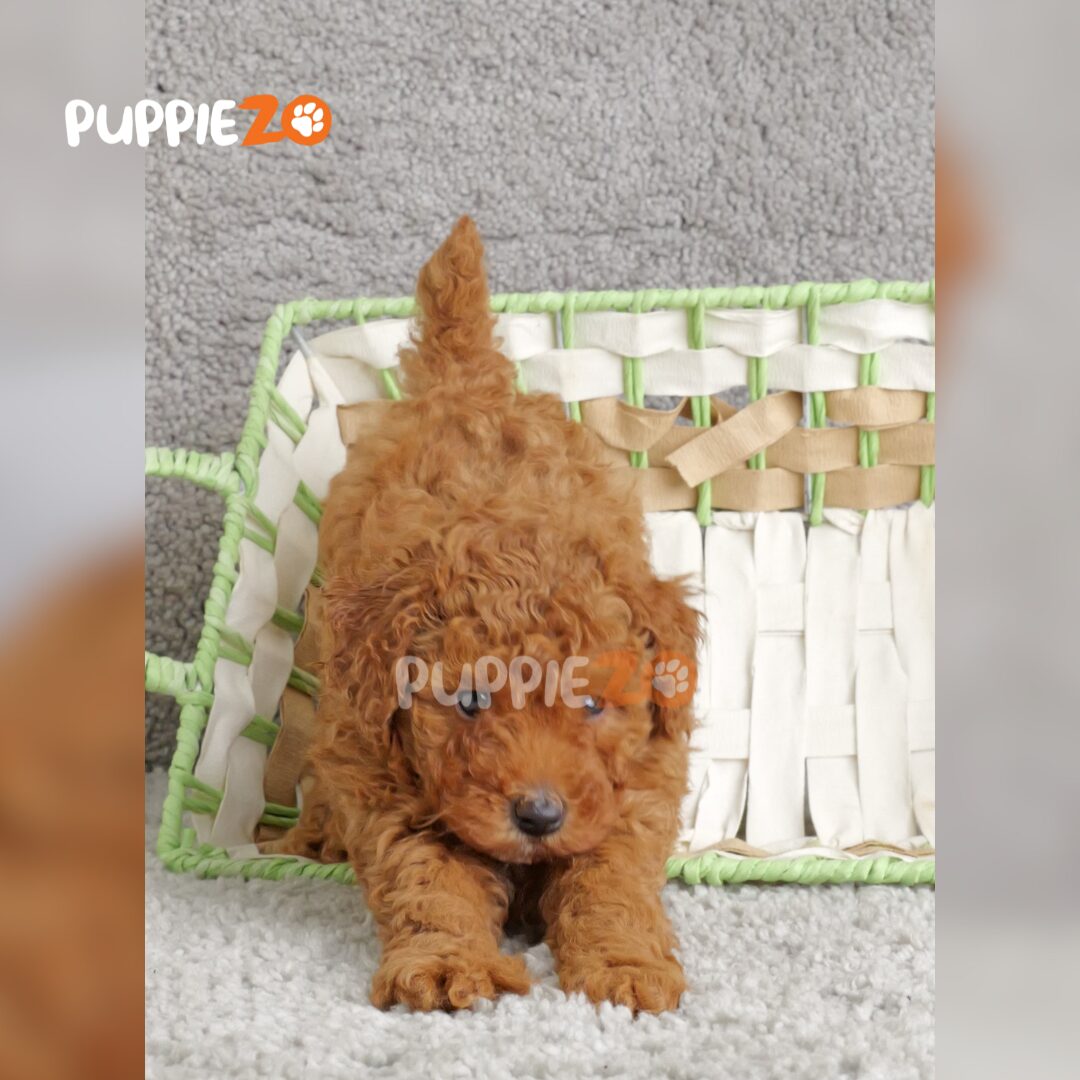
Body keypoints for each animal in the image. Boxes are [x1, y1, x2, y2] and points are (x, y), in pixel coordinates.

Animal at [279, 217, 700, 1013]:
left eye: (593, 705)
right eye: (470, 701)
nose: (538, 817)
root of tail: (465, 379)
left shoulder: (632, 788)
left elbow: (612, 882)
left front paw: (625, 965)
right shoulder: (389, 786)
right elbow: (431, 884)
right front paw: (449, 966)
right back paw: (315, 833)